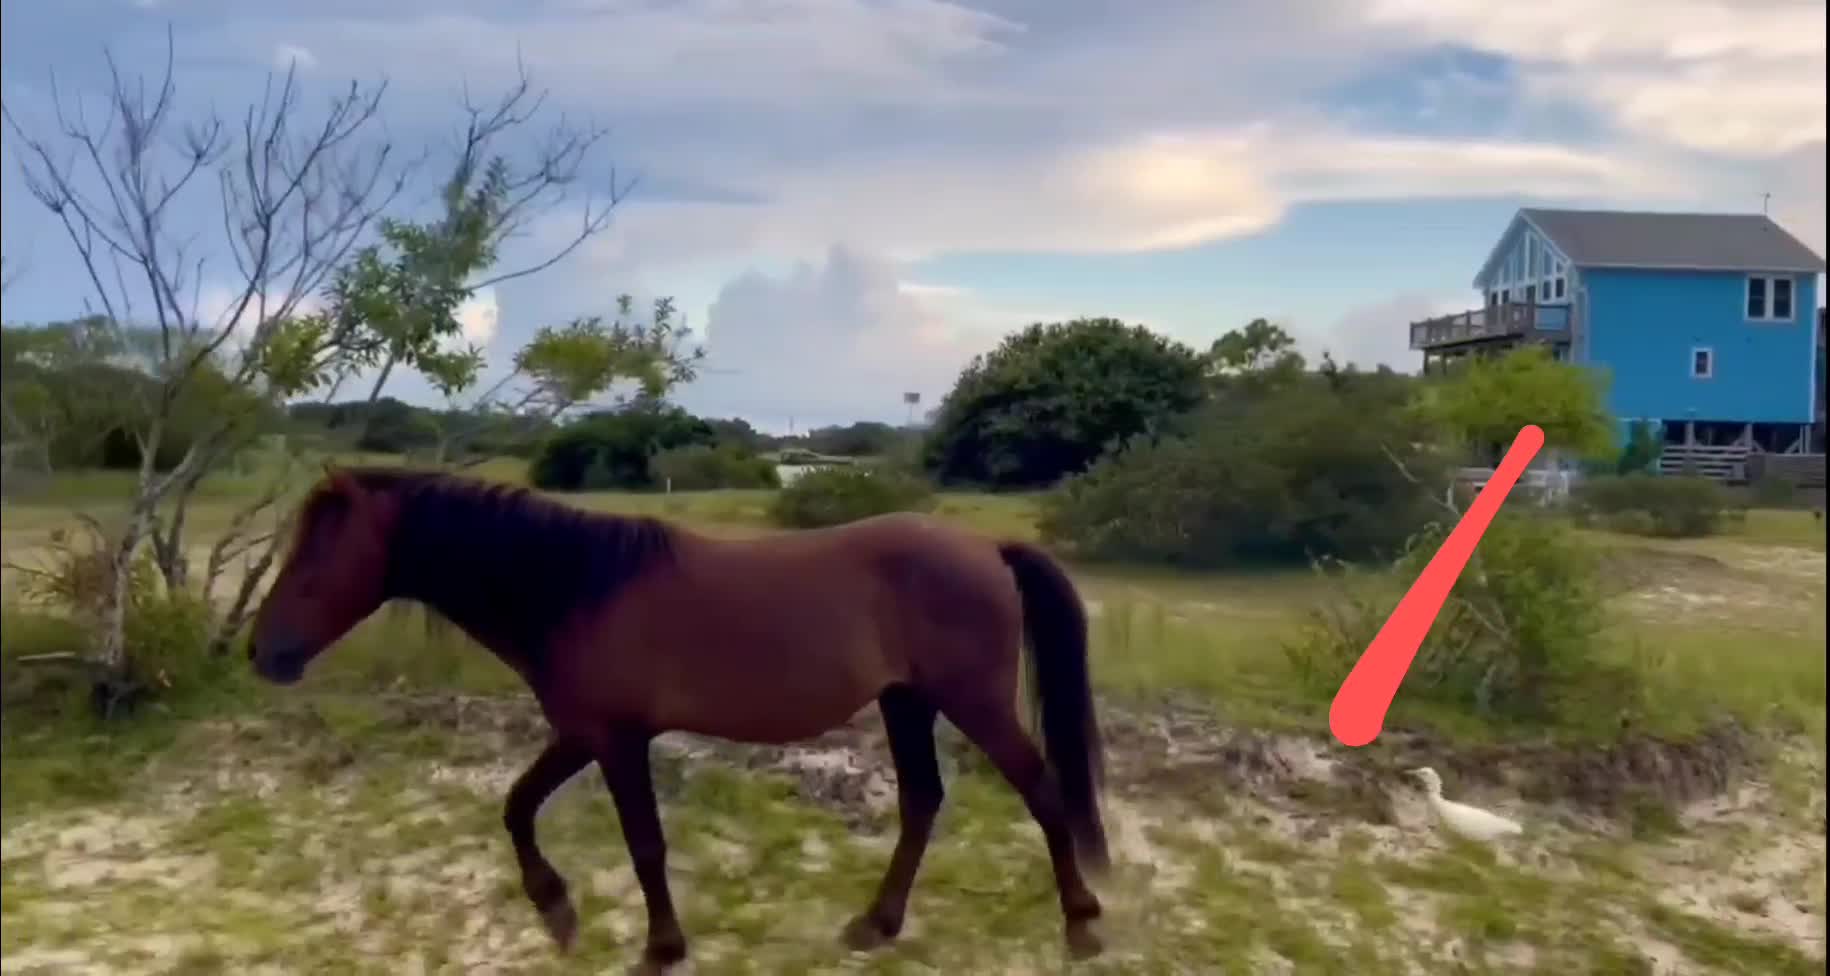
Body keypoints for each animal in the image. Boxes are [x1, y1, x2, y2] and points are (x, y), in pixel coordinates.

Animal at [248, 466, 1105, 974]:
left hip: (972, 701)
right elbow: (518, 806)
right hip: (907, 702)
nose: (263, 652)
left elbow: (645, 846)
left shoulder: (617, 741)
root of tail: (987, 548)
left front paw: (660, 947)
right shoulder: (583, 733)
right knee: (924, 801)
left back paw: (1081, 927)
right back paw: (876, 924)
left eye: (318, 555)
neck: (577, 588)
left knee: (1043, 794)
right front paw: (556, 912)